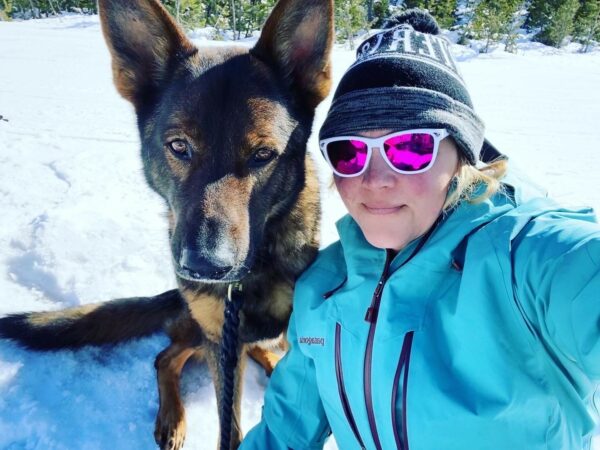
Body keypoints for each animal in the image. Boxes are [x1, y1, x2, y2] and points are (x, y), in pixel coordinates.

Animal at [0, 0, 332, 448]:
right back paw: (173, 418)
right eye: (179, 147)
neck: (254, 273)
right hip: (198, 329)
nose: (205, 267)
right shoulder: (219, 339)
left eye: (263, 155)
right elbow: (229, 427)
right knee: (165, 357)